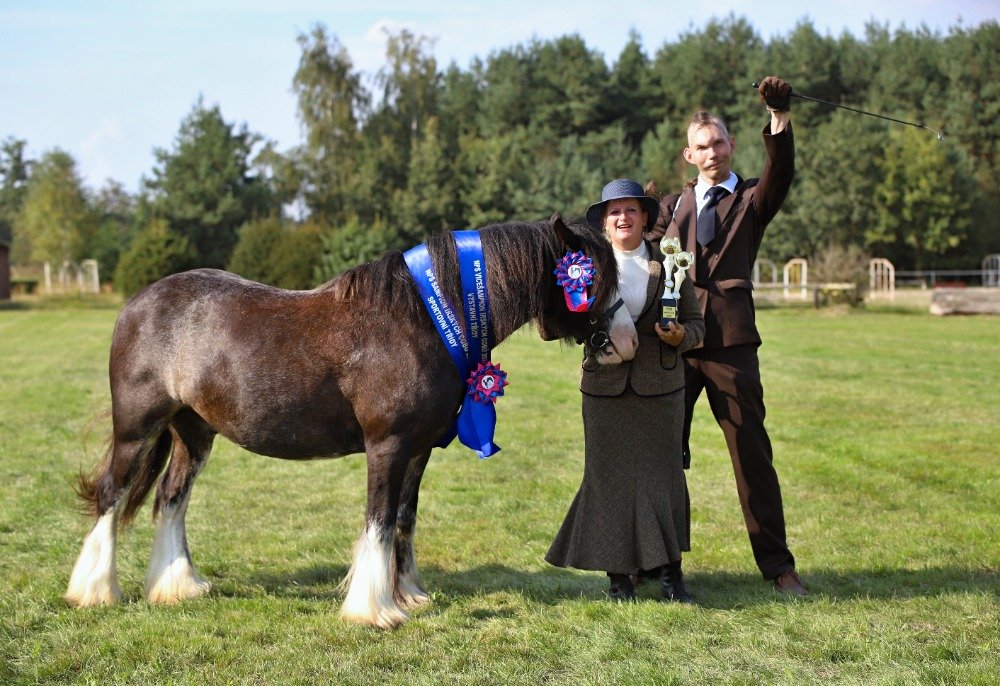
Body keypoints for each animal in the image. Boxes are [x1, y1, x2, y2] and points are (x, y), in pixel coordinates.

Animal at [66, 214, 636, 628]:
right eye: (591, 277)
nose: (628, 339)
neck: (423, 320)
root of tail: (138, 303)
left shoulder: (418, 449)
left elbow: (404, 519)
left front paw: (410, 596)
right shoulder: (387, 445)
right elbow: (378, 521)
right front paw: (375, 609)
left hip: (194, 432)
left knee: (171, 497)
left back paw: (177, 586)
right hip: (137, 429)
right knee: (112, 494)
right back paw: (95, 592)